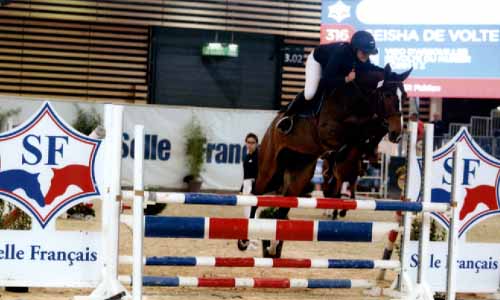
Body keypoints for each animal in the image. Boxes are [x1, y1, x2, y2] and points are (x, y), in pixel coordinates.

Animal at [241, 63, 410, 258]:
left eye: (404, 96)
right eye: (388, 95)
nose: (397, 134)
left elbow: (368, 129)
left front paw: (372, 143)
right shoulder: (329, 132)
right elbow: (357, 130)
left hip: (301, 173)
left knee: (283, 208)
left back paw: (273, 247)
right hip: (269, 167)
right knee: (256, 194)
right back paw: (245, 240)